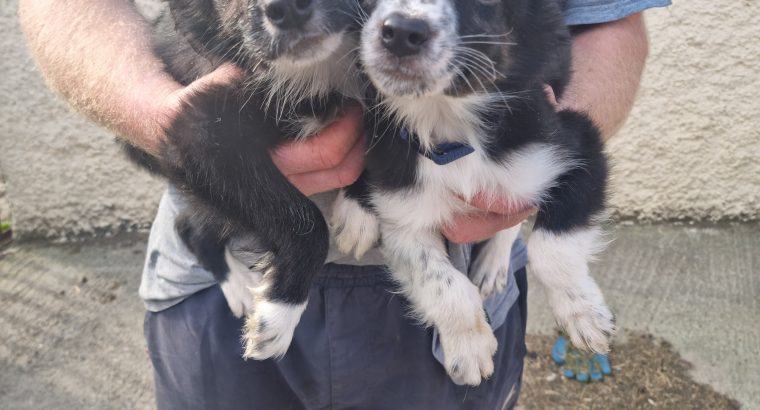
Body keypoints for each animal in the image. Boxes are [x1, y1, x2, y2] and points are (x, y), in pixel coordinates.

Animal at [124, 0, 362, 358]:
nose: (287, 9)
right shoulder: (201, 133)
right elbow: (305, 222)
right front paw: (281, 312)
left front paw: (360, 208)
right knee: (188, 226)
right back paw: (238, 285)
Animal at [330, 0, 616, 388]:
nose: (402, 32)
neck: (447, 124)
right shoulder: (403, 212)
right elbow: (442, 283)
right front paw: (468, 347)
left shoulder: (575, 145)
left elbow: (550, 250)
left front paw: (583, 313)